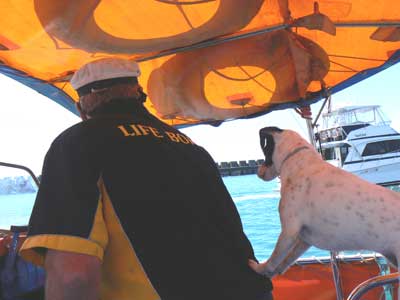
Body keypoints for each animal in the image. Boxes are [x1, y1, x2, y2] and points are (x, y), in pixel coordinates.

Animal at [248, 126, 400, 282]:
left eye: (265, 152)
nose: (257, 172)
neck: (297, 160)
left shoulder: (289, 231)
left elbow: (274, 259)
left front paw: (260, 268)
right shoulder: (303, 239)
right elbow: (286, 260)